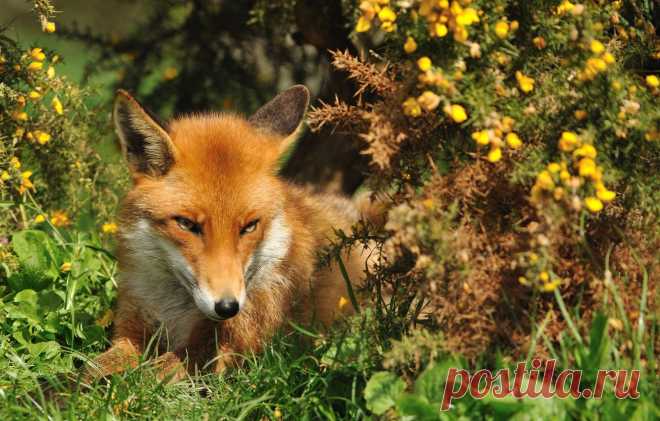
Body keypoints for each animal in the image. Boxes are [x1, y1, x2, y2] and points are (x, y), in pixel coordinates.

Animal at [88, 85, 374, 380]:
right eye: (187, 224)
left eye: (249, 226)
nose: (227, 307)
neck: (174, 311)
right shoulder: (130, 329)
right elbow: (90, 369)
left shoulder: (224, 348)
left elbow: (144, 378)